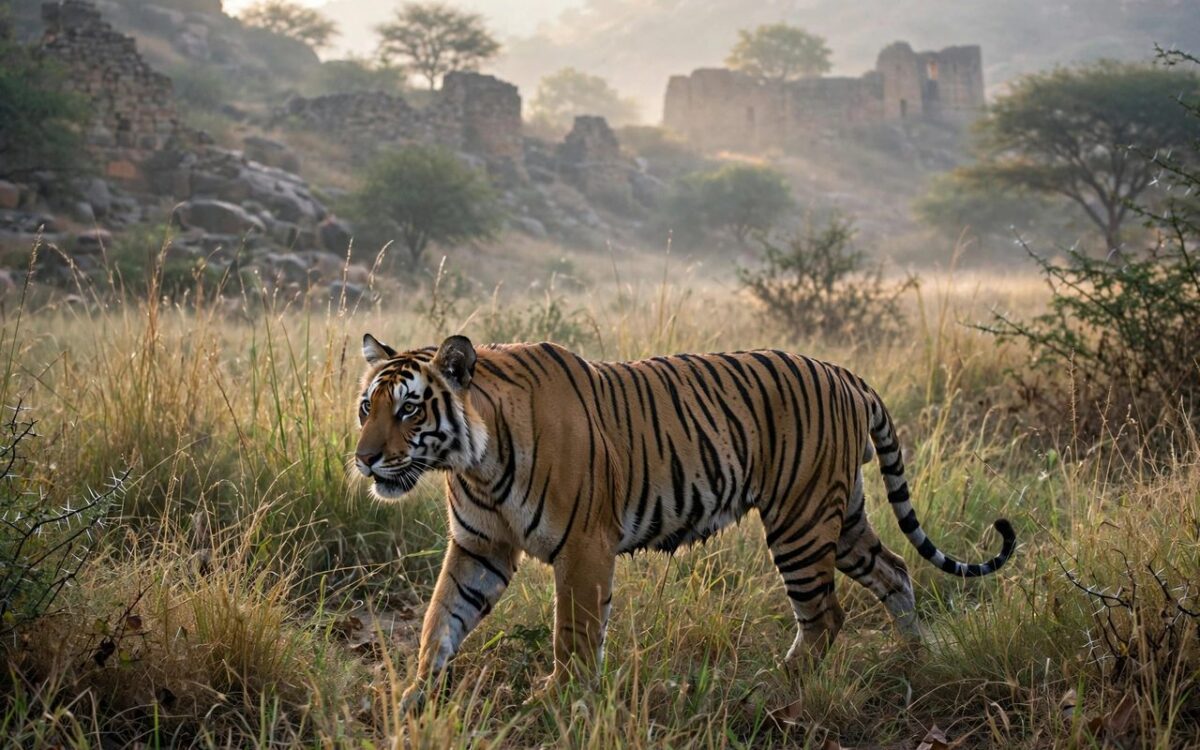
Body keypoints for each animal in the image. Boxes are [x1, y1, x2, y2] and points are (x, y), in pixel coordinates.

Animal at [353, 333, 1016, 708]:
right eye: (367, 406)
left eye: (409, 410)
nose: (363, 459)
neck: (476, 463)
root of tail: (845, 373)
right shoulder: (480, 548)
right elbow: (440, 621)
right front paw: (412, 697)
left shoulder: (584, 547)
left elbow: (574, 633)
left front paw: (559, 701)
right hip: (842, 515)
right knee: (896, 571)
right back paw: (912, 660)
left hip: (800, 521)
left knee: (826, 615)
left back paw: (774, 687)